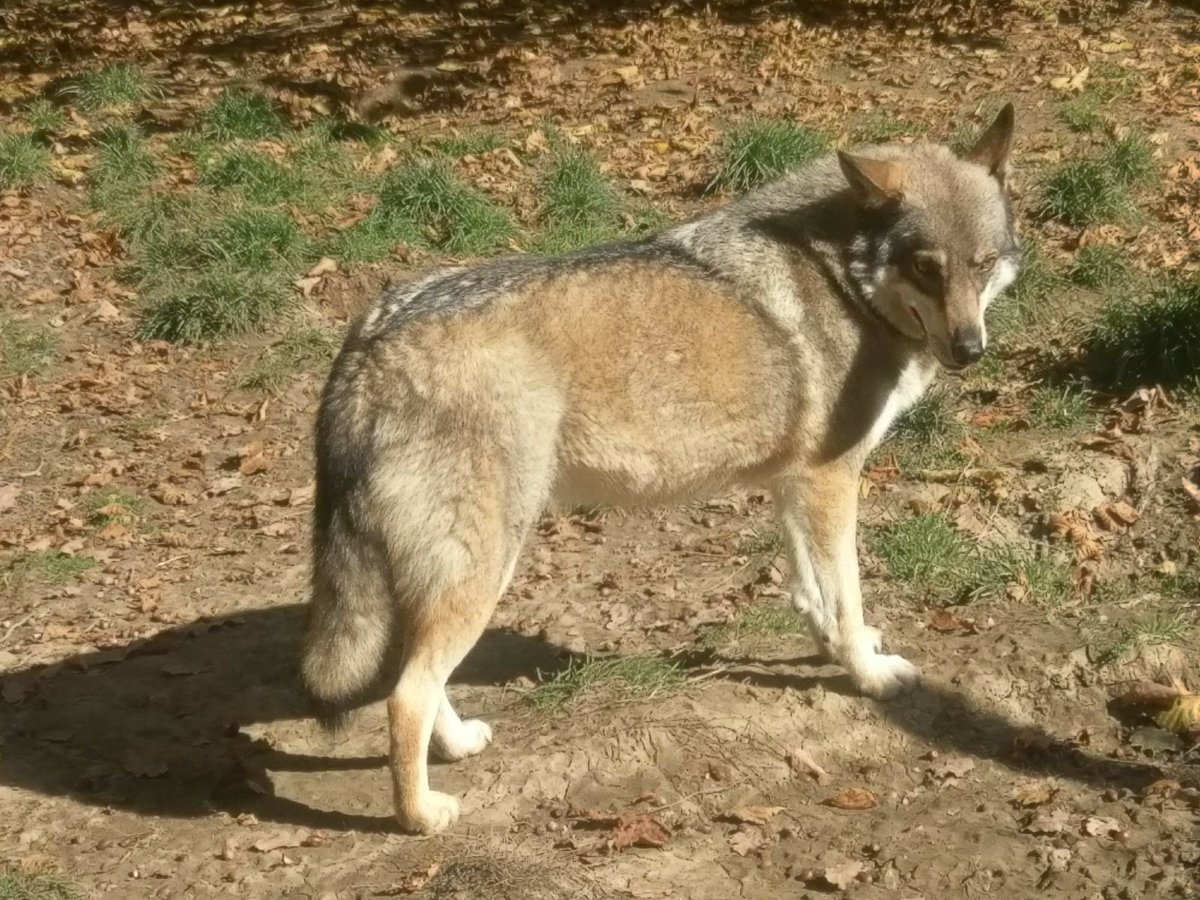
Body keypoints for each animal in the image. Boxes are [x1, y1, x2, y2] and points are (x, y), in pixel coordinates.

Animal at [301, 104, 1020, 834]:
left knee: (415, 678)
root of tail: (367, 341)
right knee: (406, 694)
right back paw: (421, 815)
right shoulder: (831, 480)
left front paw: (836, 648)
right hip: (481, 571)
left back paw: (457, 745)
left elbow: (814, 593)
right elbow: (845, 596)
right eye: (926, 269)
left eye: (983, 265)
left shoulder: (795, 484)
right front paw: (868, 675)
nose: (971, 349)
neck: (842, 279)